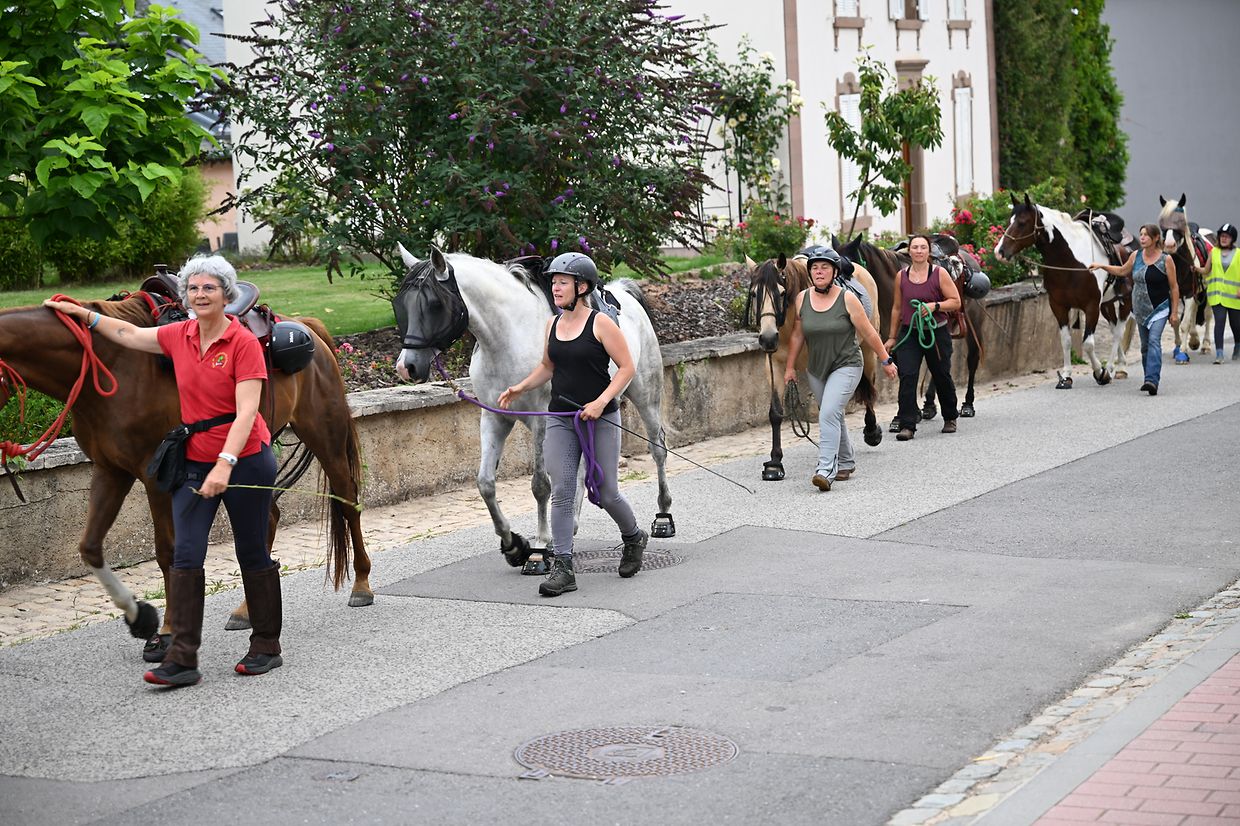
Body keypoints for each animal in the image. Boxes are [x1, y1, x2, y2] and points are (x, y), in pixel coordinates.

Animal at [391, 245, 673, 566]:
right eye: (401, 305)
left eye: (435, 304)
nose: (406, 368)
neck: (508, 338)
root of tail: (624, 293)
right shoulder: (494, 418)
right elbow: (485, 483)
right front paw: (514, 545)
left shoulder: (541, 420)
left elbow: (540, 485)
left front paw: (538, 548)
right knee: (581, 467)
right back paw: (570, 526)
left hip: (646, 396)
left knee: (658, 448)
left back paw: (663, 515)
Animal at [834, 235, 986, 423]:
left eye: (849, 268)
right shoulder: (891, 342)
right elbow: (904, 372)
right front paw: (911, 413)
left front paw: (904, 416)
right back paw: (929, 404)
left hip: (974, 321)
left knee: (972, 358)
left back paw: (968, 404)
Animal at [994, 193, 1133, 389]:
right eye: (1009, 220)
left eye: (1022, 222)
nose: (999, 252)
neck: (1070, 262)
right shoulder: (1058, 305)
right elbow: (1065, 341)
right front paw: (1066, 376)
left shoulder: (1091, 306)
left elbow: (1088, 344)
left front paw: (1100, 372)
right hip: (1106, 304)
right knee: (1114, 329)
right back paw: (1118, 366)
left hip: (1125, 300)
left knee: (1119, 331)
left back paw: (1112, 368)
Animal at [1157, 193, 1210, 360]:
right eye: (1163, 224)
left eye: (1179, 222)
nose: (1169, 245)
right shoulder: (1172, 293)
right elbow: (1175, 321)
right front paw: (1178, 347)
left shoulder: (1189, 293)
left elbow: (1184, 323)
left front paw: (1183, 352)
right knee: (1193, 313)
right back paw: (1194, 340)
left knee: (1207, 315)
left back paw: (1205, 345)